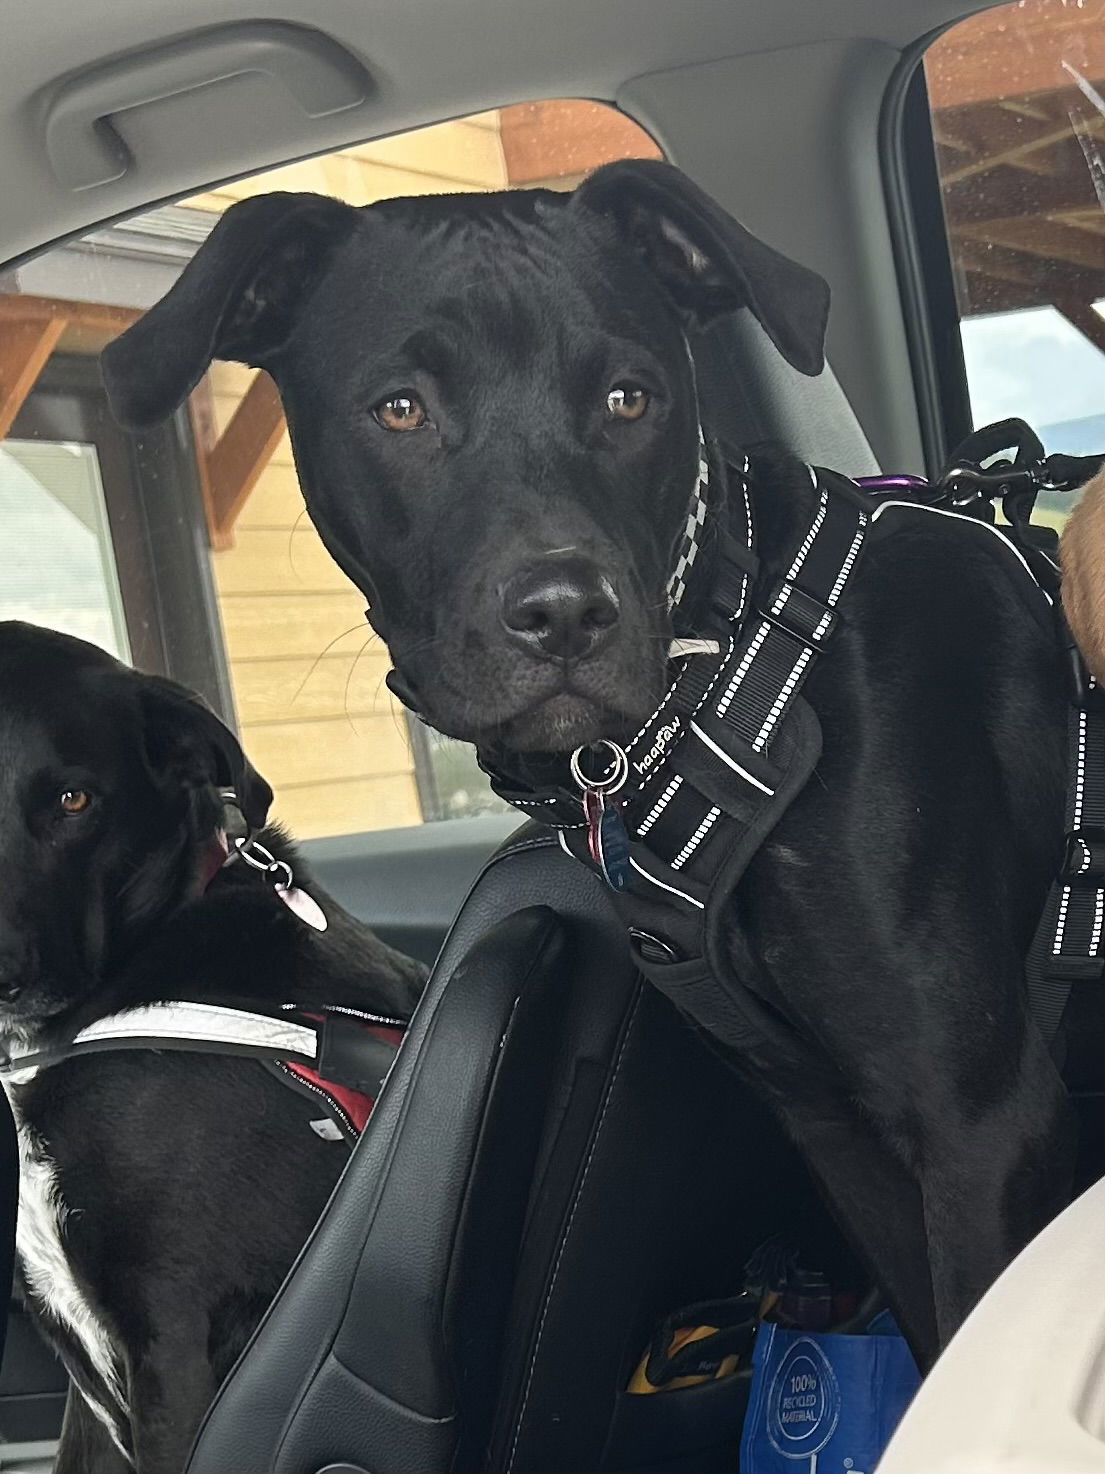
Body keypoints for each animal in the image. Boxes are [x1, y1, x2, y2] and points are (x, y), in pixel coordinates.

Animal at [99, 161, 1078, 1367]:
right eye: (400, 408)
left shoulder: (978, 1121)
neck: (734, 660)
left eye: (628, 399)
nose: (564, 612)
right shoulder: (831, 1123)